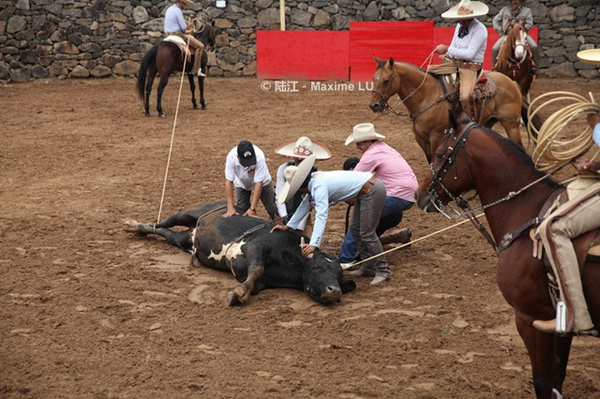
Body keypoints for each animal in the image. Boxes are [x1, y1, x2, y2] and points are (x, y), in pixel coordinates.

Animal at [370, 56, 536, 162]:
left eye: (386, 81)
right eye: (373, 79)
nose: (374, 105)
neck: (427, 95)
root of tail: (511, 82)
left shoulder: (436, 136)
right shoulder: (421, 139)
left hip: (511, 124)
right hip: (488, 122)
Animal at [414, 114, 600, 398]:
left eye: (439, 153)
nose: (419, 194)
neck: (527, 213)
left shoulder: (530, 319)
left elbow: (543, 381)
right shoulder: (560, 325)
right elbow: (557, 377)